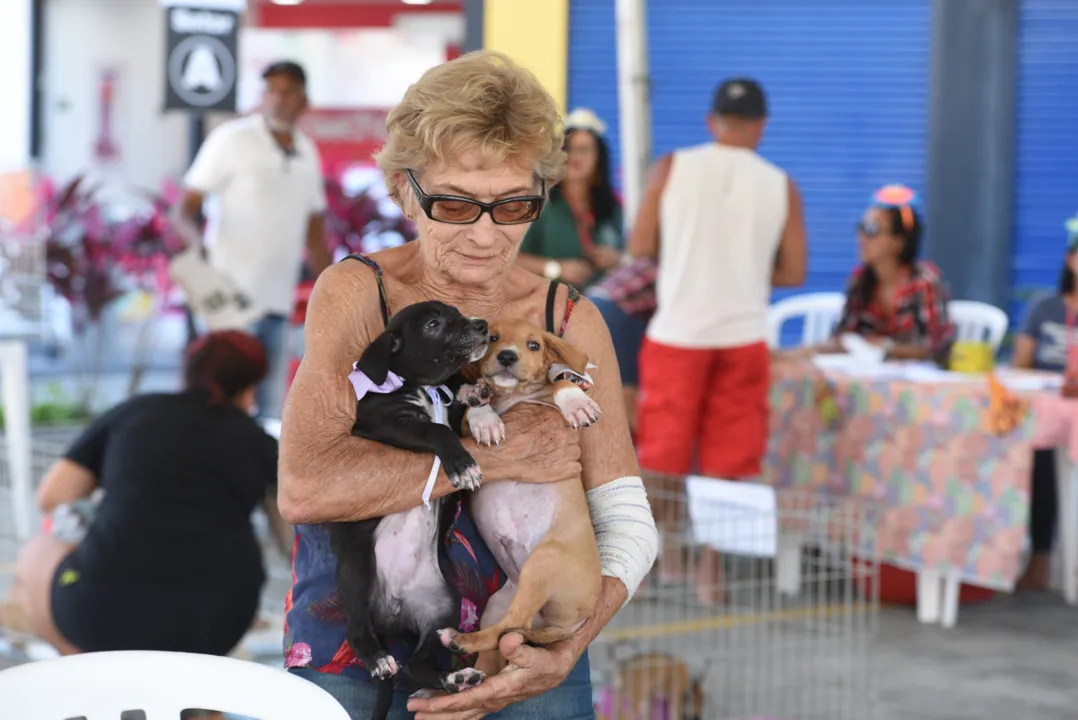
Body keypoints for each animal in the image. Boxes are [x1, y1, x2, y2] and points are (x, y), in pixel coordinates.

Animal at [325, 299, 491, 719]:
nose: (483, 324)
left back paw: (455, 678)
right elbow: (437, 430)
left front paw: (474, 392)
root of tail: (392, 617)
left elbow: (455, 414)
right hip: (357, 569)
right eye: (433, 324)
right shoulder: (388, 426)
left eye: (458, 313)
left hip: (443, 608)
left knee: (419, 665)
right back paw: (378, 659)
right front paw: (463, 466)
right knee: (356, 630)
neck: (424, 388)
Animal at [439, 316, 607, 676]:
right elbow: (472, 411)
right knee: (500, 638)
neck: (512, 397)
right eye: (492, 337)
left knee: (509, 627)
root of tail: (572, 624)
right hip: (498, 603)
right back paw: (463, 680)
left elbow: (559, 382)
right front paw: (485, 418)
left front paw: (577, 403)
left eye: (534, 344)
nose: (507, 356)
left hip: (541, 564)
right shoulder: (463, 433)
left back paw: (459, 642)